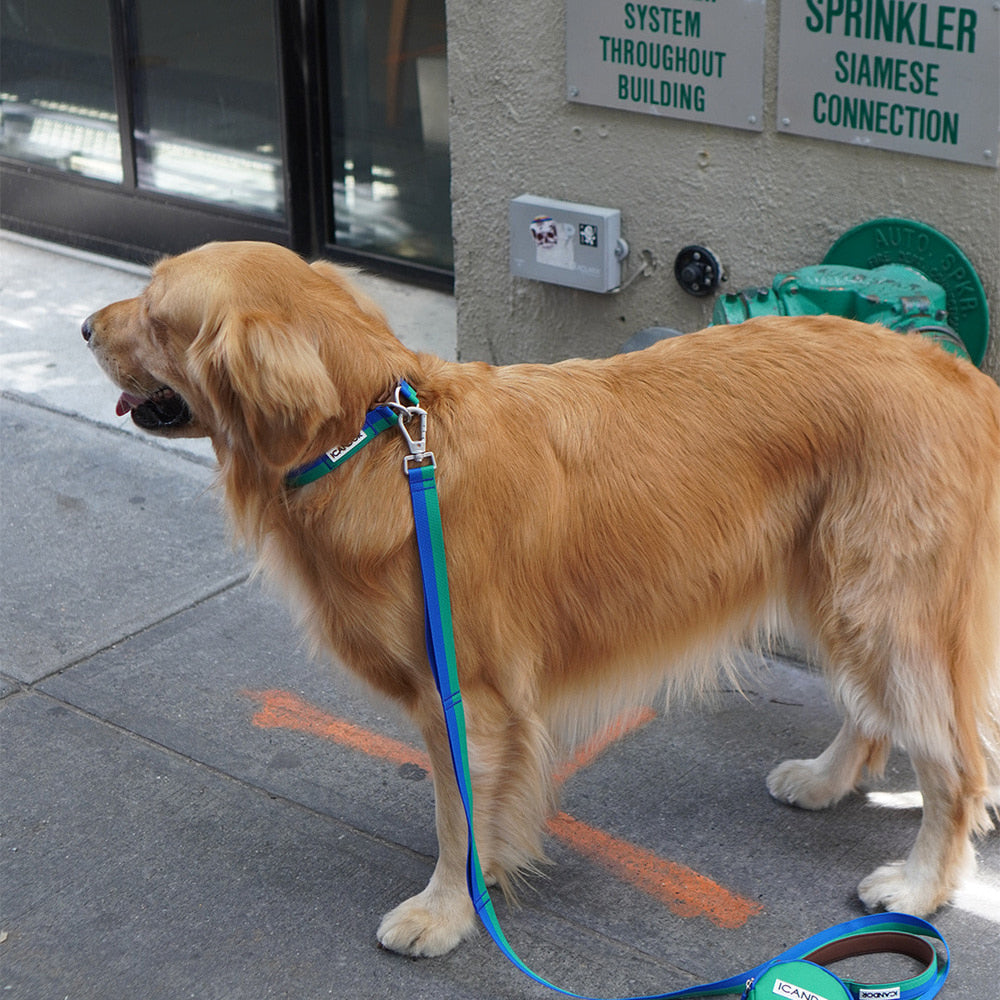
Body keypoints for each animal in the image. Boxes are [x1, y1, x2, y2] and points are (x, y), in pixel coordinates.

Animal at [84, 238, 1000, 956]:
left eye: (158, 314)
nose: (86, 327)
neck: (374, 439)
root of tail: (955, 373)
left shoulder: (466, 696)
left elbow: (456, 815)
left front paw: (446, 911)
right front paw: (477, 884)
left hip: (885, 601)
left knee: (955, 762)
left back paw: (921, 885)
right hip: (837, 589)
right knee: (876, 714)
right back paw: (823, 779)